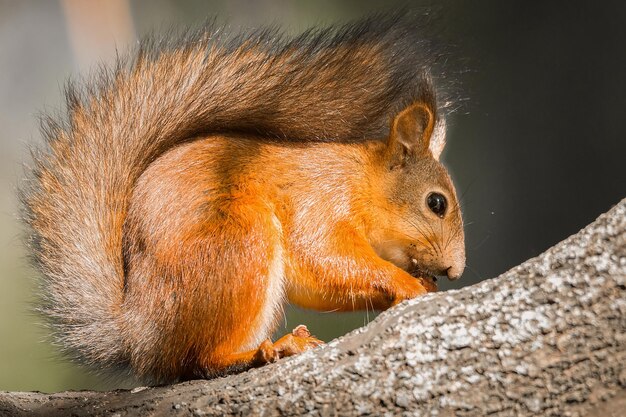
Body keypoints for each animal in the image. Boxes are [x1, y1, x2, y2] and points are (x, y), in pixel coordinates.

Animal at [23, 17, 464, 384]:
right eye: (436, 203)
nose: (455, 270)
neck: (363, 180)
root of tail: (139, 335)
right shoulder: (321, 200)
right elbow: (325, 255)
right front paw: (406, 282)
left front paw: (420, 284)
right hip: (240, 242)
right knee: (198, 361)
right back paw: (268, 350)